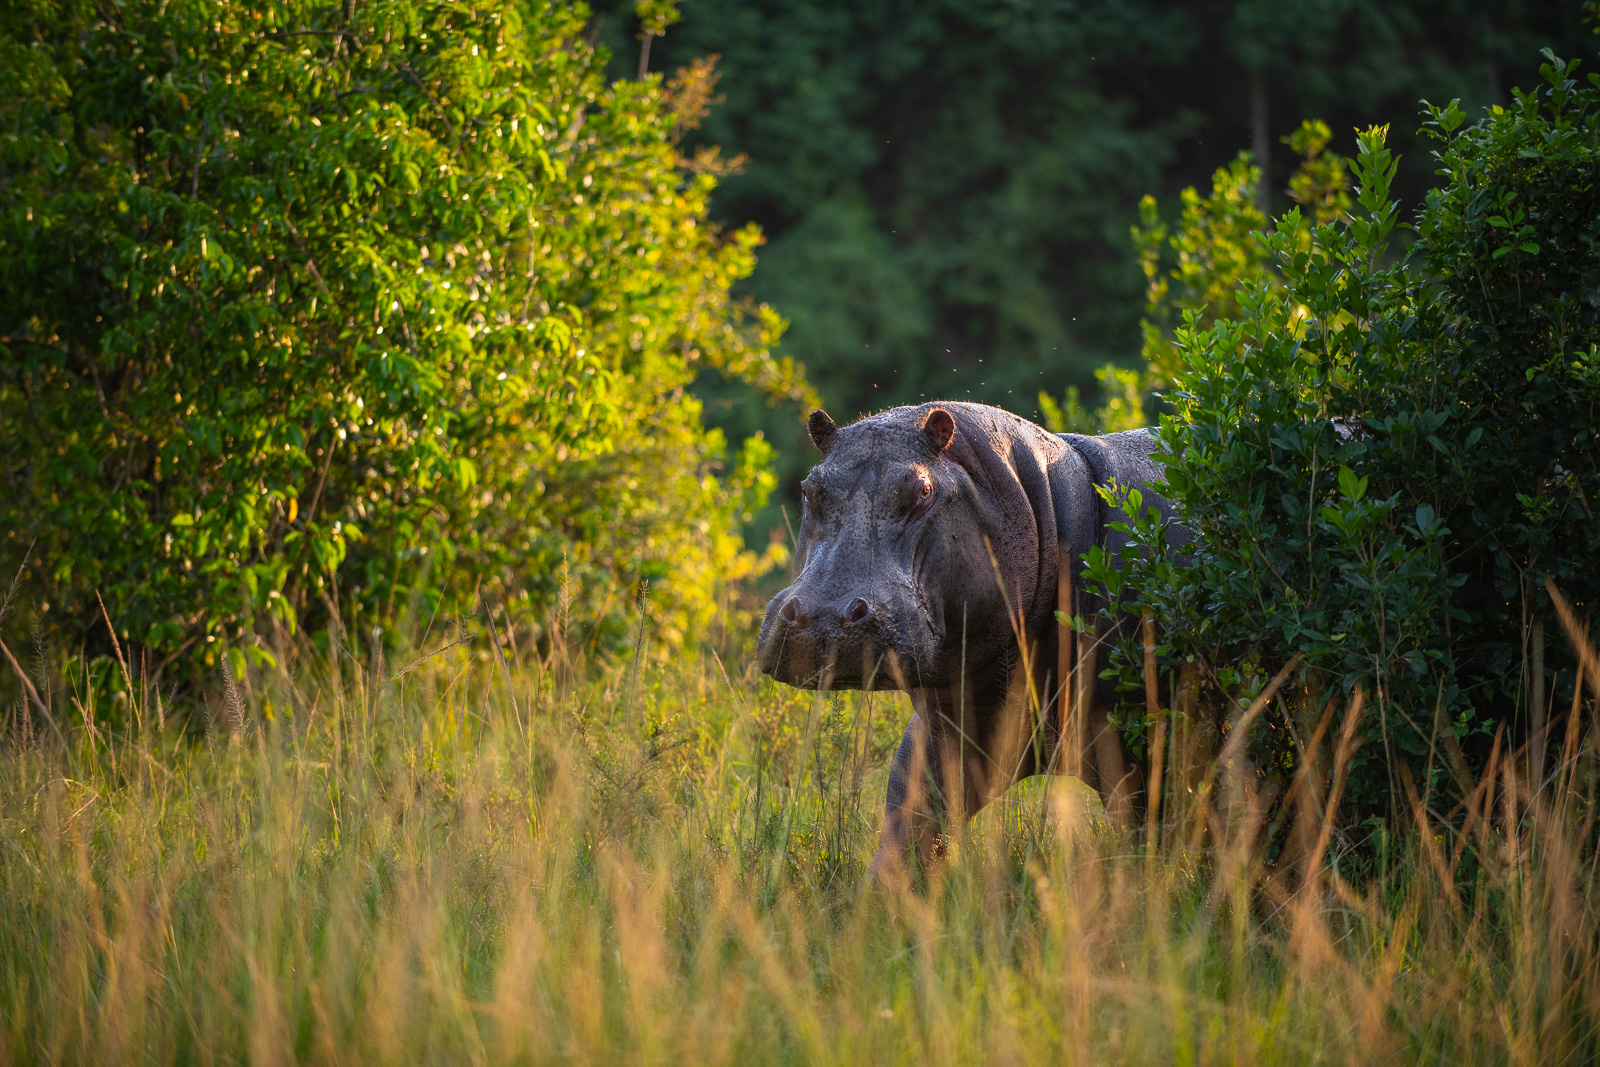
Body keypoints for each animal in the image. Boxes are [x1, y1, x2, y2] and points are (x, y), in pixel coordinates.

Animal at [757, 401, 1189, 877]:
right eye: (809, 489)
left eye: (923, 490)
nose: (824, 619)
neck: (1050, 509)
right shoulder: (949, 730)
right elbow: (908, 830)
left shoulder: (1140, 742)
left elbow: (1146, 838)